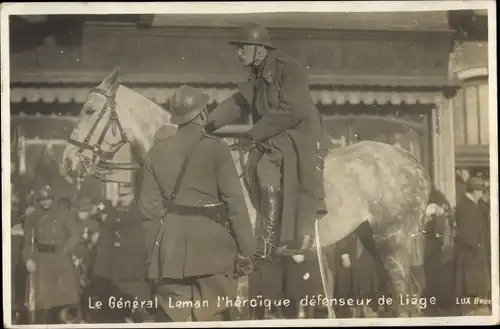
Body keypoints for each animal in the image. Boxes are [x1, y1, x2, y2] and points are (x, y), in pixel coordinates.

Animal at [61, 69, 430, 318]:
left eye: (89, 111)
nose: (68, 162)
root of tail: (412, 163)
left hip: (392, 241)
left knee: (405, 299)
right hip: (374, 239)